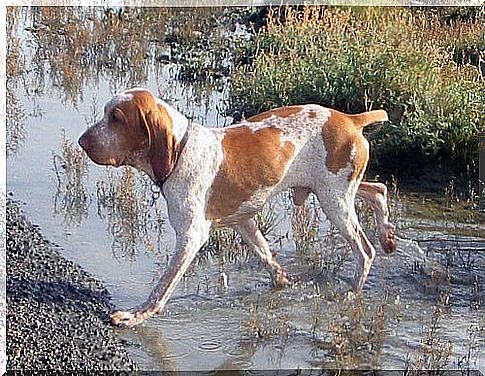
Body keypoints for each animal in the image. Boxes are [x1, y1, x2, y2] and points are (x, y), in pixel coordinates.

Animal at [79, 87, 396, 326]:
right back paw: (387, 235)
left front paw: (136, 315)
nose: (82, 141)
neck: (180, 150)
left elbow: (161, 288)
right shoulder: (243, 221)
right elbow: (268, 257)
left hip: (335, 200)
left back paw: (353, 292)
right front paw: (282, 284)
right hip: (333, 190)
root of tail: (351, 119)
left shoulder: (191, 237)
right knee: (378, 190)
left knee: (365, 251)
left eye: (116, 117)